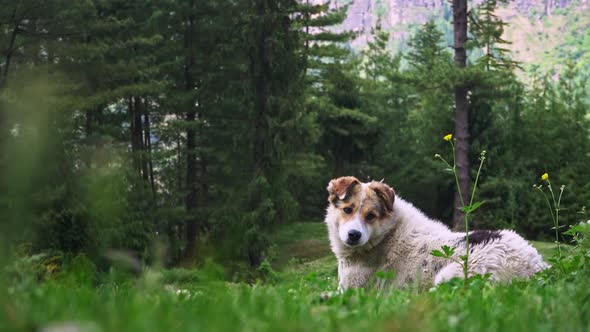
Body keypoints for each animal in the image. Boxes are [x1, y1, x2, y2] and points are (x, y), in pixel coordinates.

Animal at [324, 175, 552, 290]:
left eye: (370, 215)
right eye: (347, 210)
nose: (354, 235)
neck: (386, 235)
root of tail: (534, 266)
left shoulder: (351, 290)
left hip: (451, 276)